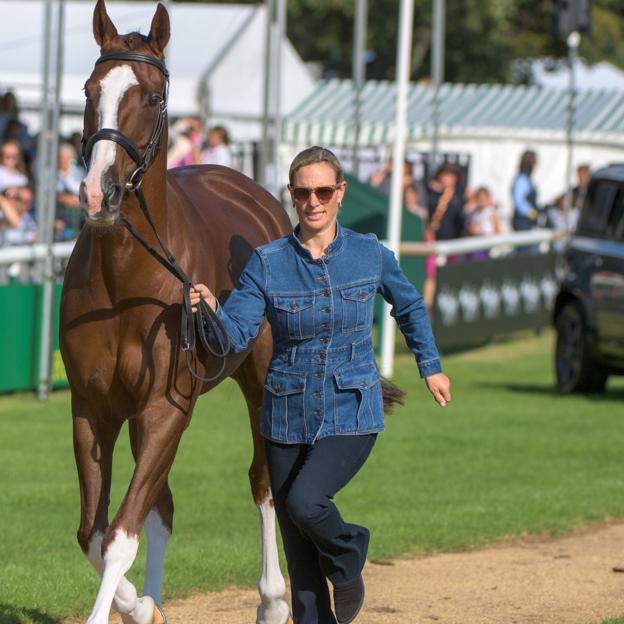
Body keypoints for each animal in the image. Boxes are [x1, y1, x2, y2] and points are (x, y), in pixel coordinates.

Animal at [59, 2, 292, 620]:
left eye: (152, 97)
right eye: (89, 89)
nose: (99, 193)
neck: (125, 281)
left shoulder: (167, 408)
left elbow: (119, 534)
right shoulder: (94, 408)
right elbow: (94, 533)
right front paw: (142, 607)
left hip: (261, 382)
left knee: (263, 481)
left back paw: (273, 599)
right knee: (160, 507)